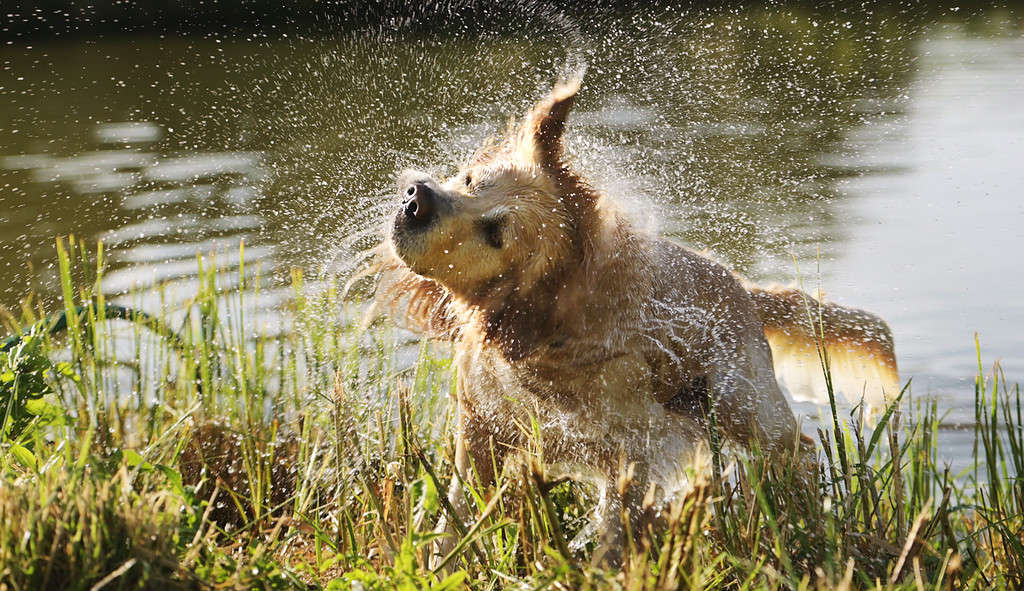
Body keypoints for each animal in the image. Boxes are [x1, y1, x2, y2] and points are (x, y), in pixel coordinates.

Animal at [374, 77, 897, 561]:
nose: (416, 198)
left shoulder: (637, 453)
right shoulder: (479, 430)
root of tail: (742, 286)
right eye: (467, 179)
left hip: (744, 403)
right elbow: (454, 516)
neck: (546, 340)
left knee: (800, 450)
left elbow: (614, 533)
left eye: (496, 233)